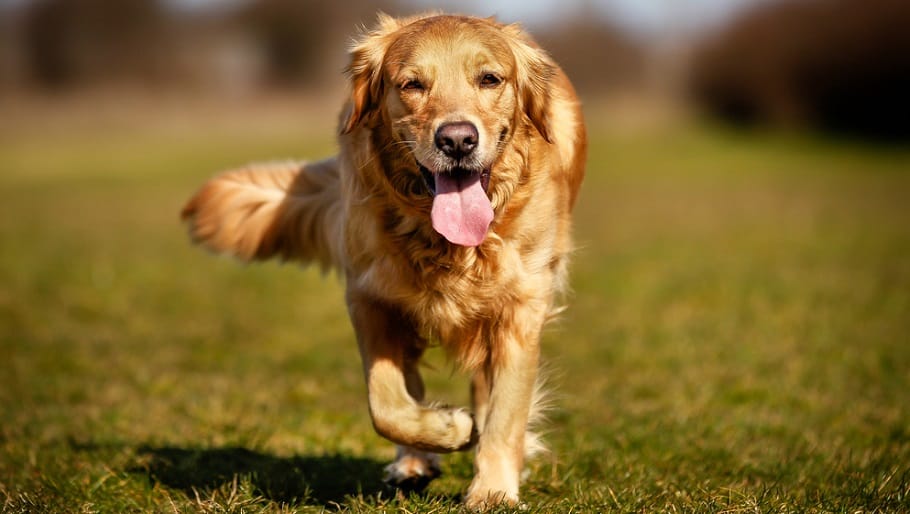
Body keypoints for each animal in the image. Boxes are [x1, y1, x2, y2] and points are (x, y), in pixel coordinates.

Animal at [182, 13, 588, 508]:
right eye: (412, 84)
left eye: (490, 79)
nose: (457, 140)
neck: (447, 242)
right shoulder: (369, 298)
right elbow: (386, 404)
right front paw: (446, 427)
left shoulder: (520, 308)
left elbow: (506, 410)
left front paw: (493, 490)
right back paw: (415, 459)